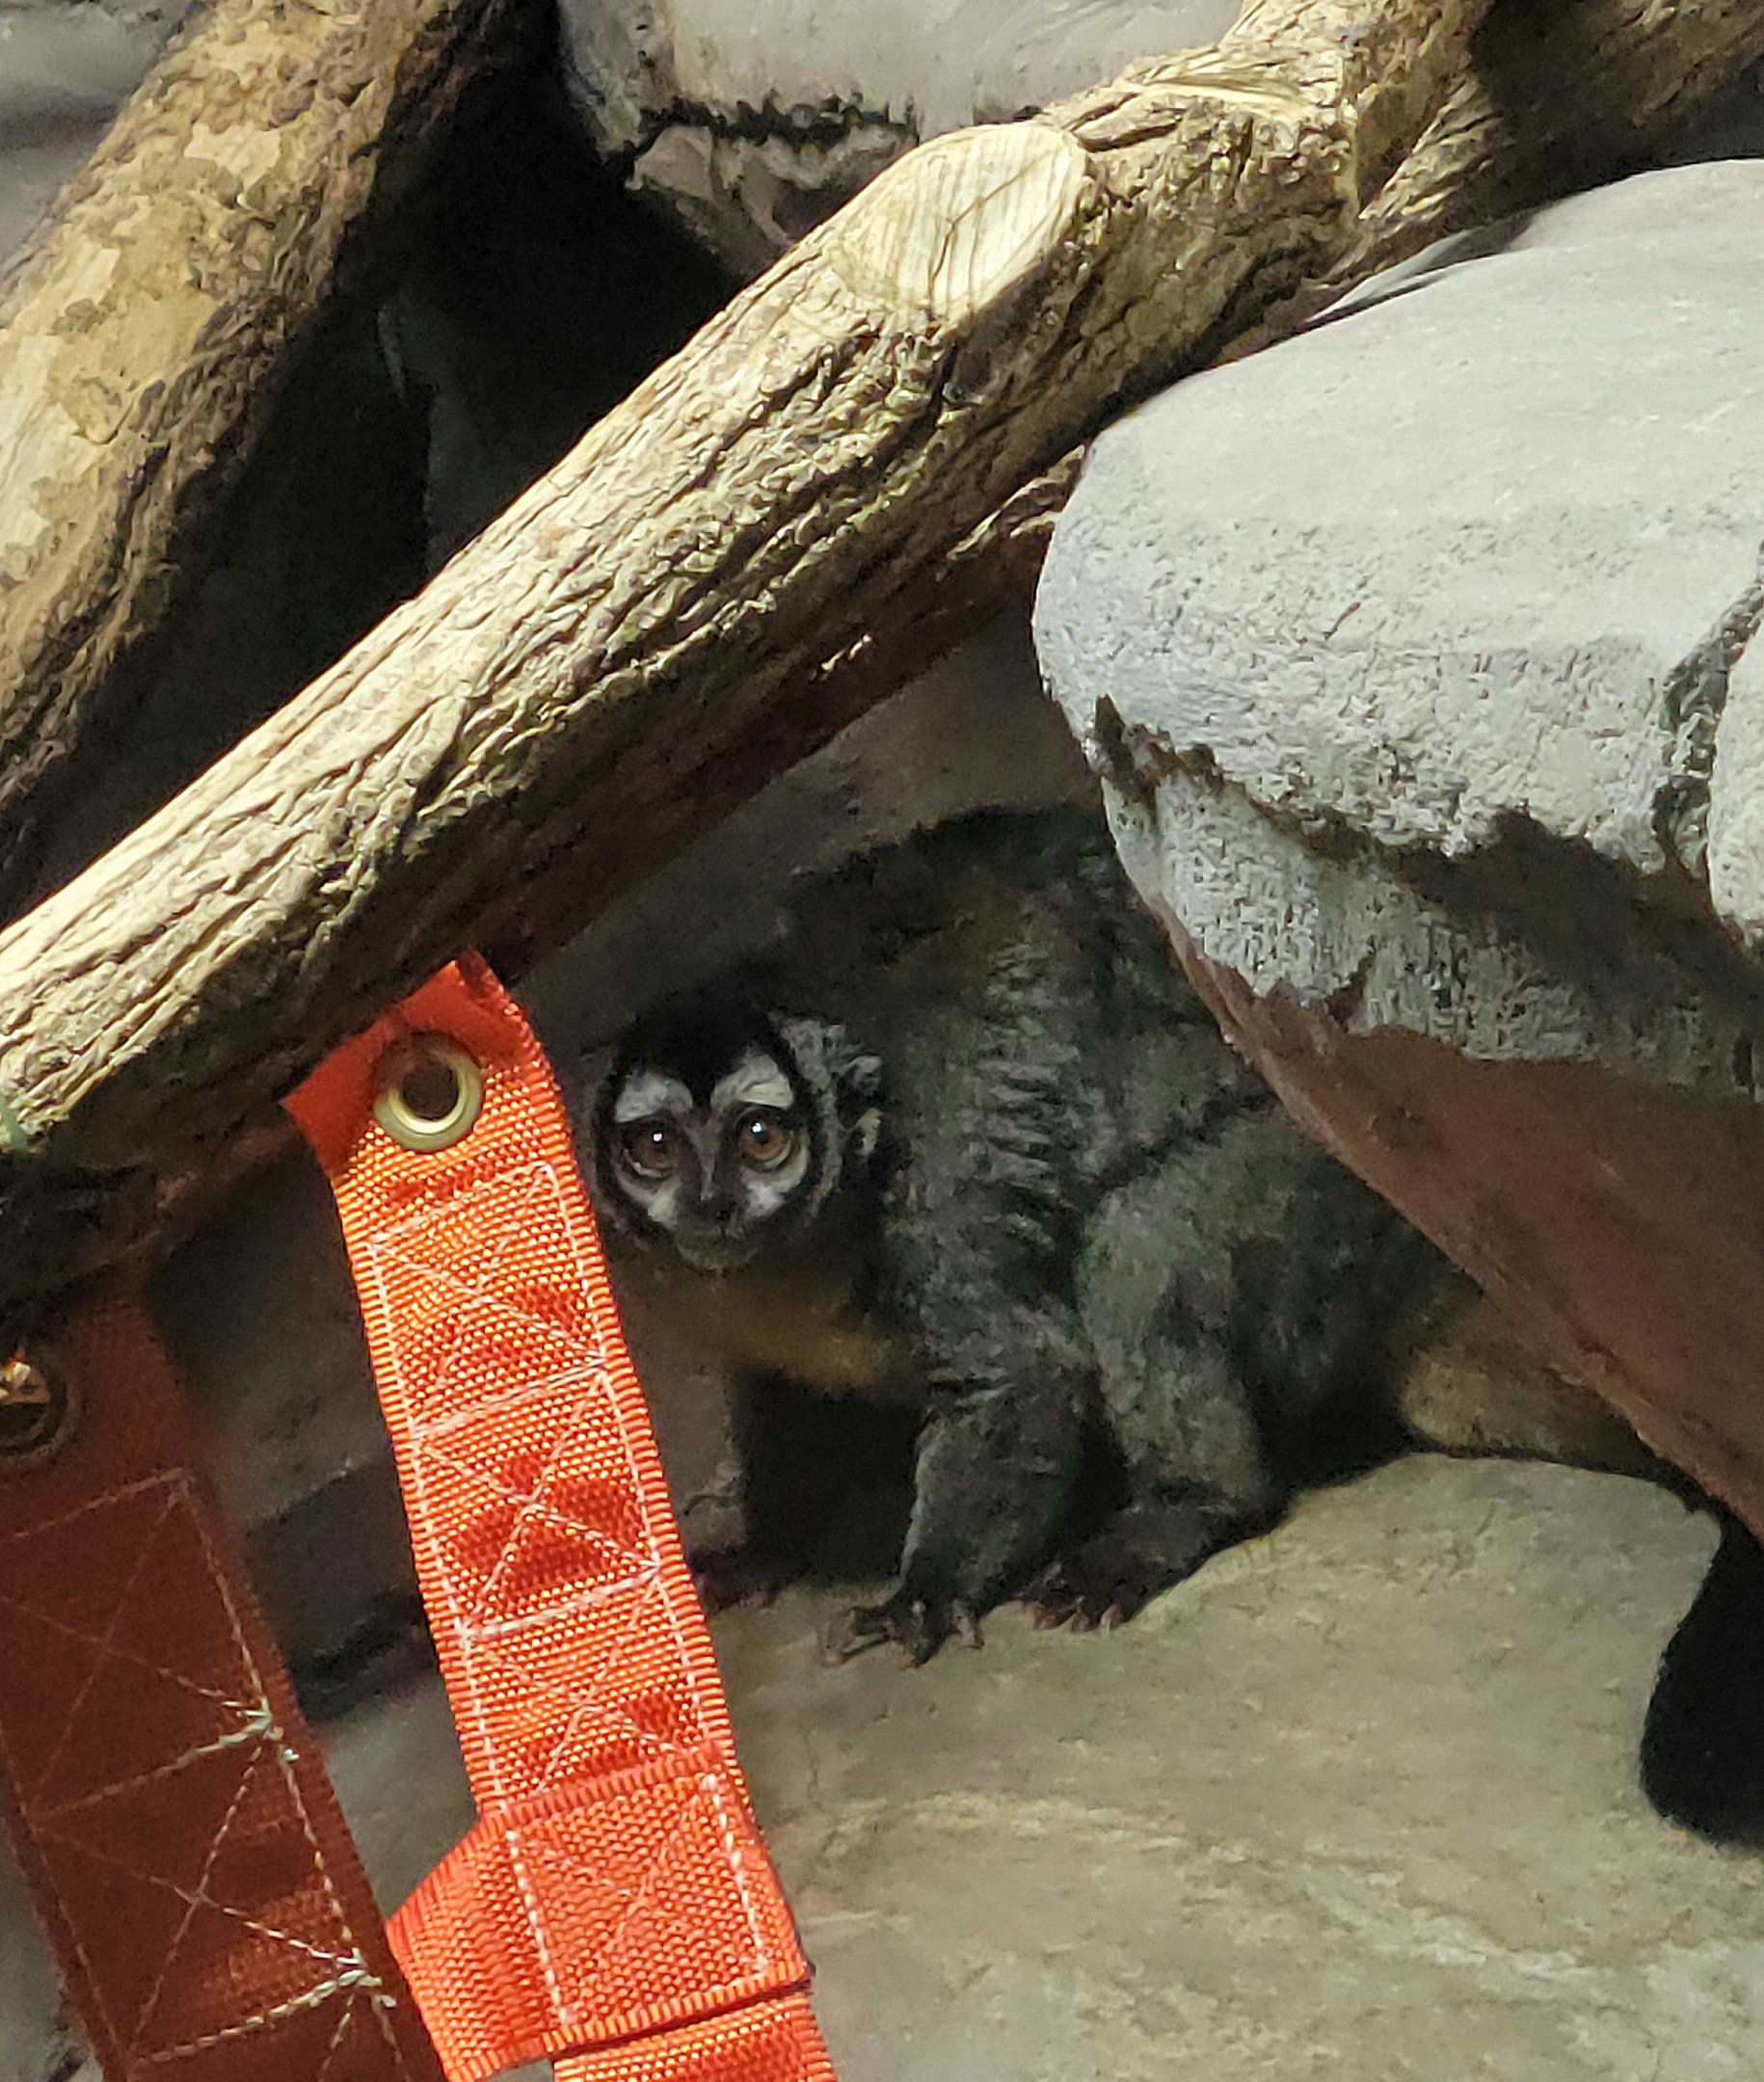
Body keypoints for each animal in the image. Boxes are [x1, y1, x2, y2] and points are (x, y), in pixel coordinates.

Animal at [580, 804, 1764, 1839]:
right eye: (654, 1149)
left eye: (762, 1136)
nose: (714, 1202)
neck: (796, 1256)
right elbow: (778, 1401)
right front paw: (762, 1548)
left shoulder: (937, 1195)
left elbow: (1026, 1369)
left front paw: (923, 1592)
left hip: (1323, 1195)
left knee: (1137, 1241)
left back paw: (1184, 1508)